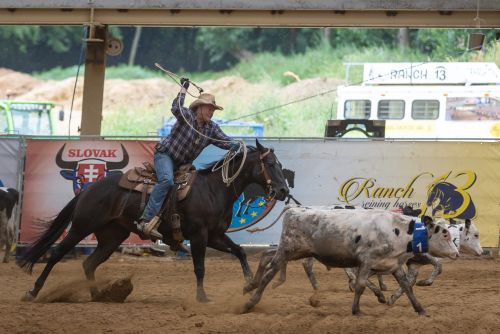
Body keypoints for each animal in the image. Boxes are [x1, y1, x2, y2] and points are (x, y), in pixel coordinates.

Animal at [17, 140, 290, 302]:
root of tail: (88, 189)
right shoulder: (199, 236)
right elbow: (200, 267)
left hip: (112, 237)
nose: (283, 191)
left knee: (89, 263)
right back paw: (32, 292)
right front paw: (202, 297)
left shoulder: (215, 236)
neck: (214, 190)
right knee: (56, 255)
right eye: (270, 163)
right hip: (81, 227)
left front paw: (250, 283)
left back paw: (99, 295)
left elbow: (240, 252)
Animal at [244, 206, 458, 316]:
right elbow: (360, 286)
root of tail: (295, 210)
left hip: (295, 253)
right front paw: (356, 310)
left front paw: (420, 310)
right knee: (270, 272)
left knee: (272, 261)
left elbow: (407, 287)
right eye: (445, 234)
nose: (457, 254)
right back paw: (250, 301)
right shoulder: (366, 262)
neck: (398, 231)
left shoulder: (394, 265)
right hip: (287, 249)